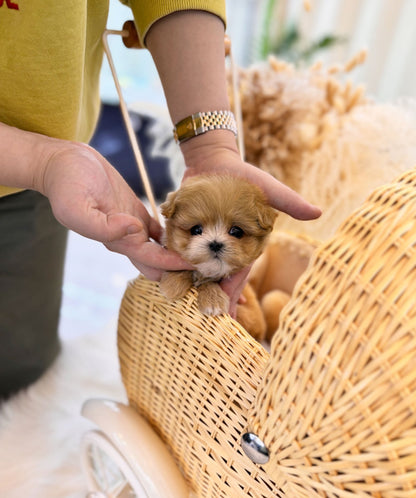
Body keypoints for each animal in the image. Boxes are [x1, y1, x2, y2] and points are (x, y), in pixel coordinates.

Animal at [161, 175, 278, 316]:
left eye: (236, 231)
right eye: (196, 230)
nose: (215, 244)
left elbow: (210, 282)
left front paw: (213, 299)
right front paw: (173, 284)